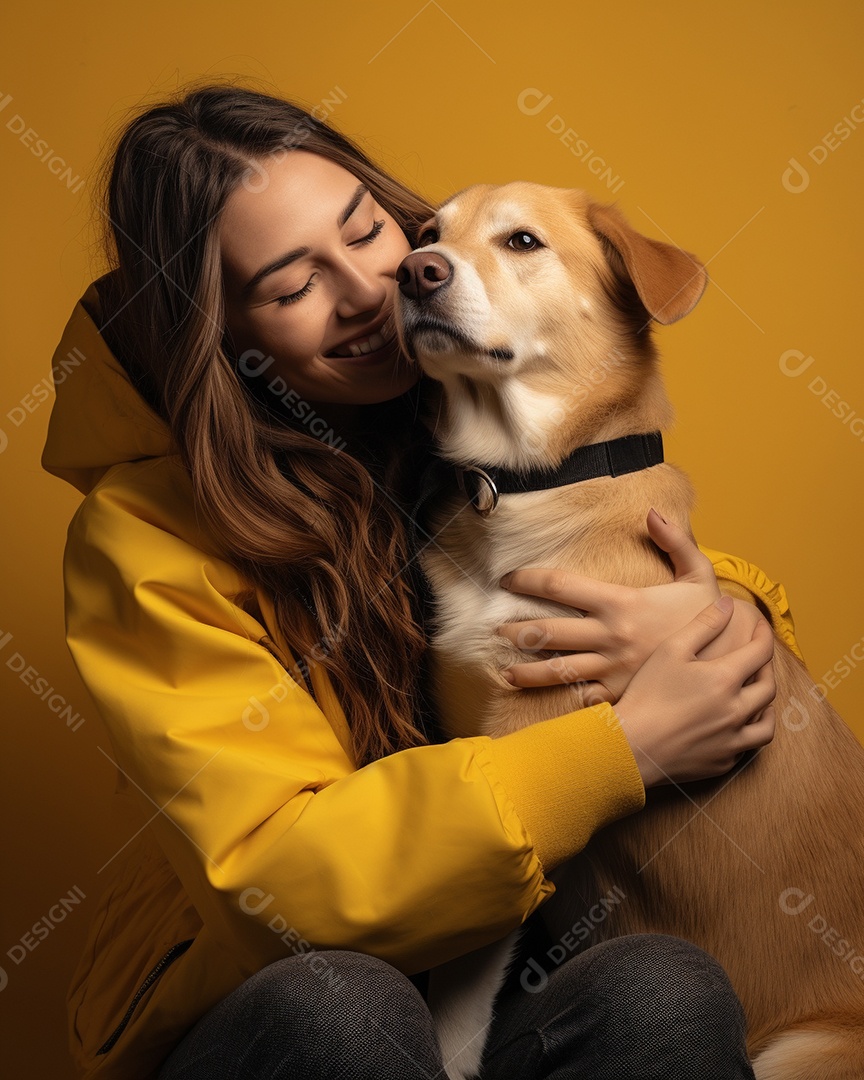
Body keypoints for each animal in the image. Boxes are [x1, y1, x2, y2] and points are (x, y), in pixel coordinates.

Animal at [395, 185, 864, 1080]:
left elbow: (461, 994)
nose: (413, 273)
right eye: (428, 234)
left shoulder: (527, 744)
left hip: (798, 1053)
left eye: (521, 241)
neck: (530, 488)